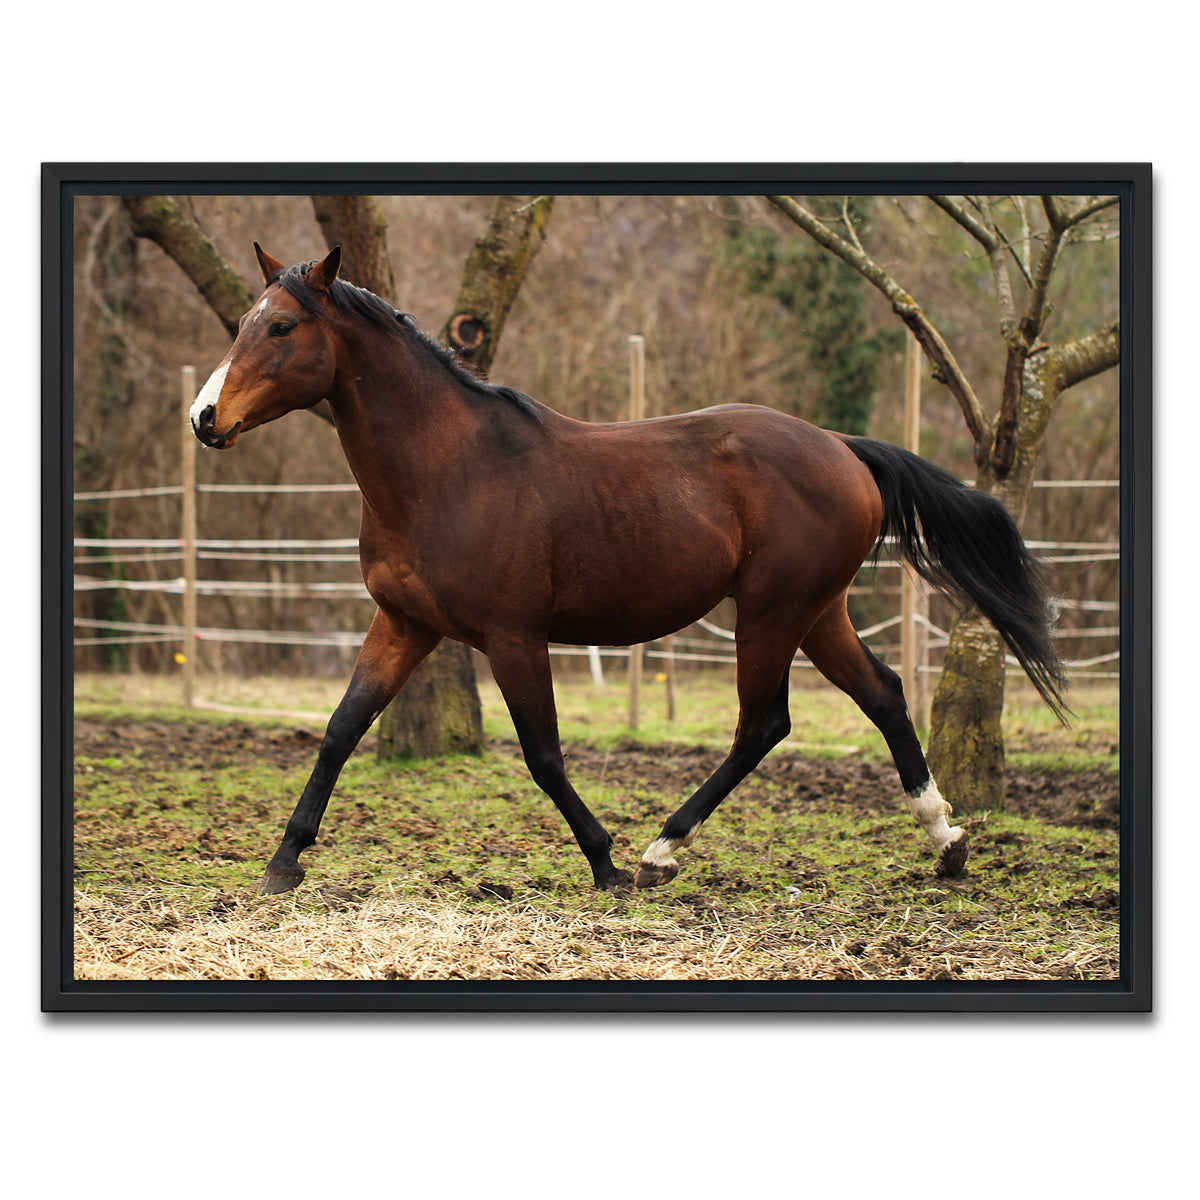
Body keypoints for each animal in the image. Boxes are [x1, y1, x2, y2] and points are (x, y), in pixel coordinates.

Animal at [190, 243, 1066, 896]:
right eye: (247, 323)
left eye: (281, 326)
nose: (204, 418)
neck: (448, 468)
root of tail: (842, 447)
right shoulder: (403, 624)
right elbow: (341, 730)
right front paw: (283, 862)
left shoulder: (513, 637)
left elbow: (543, 754)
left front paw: (605, 860)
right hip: (819, 612)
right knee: (881, 696)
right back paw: (946, 842)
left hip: (772, 612)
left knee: (763, 724)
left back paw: (659, 852)